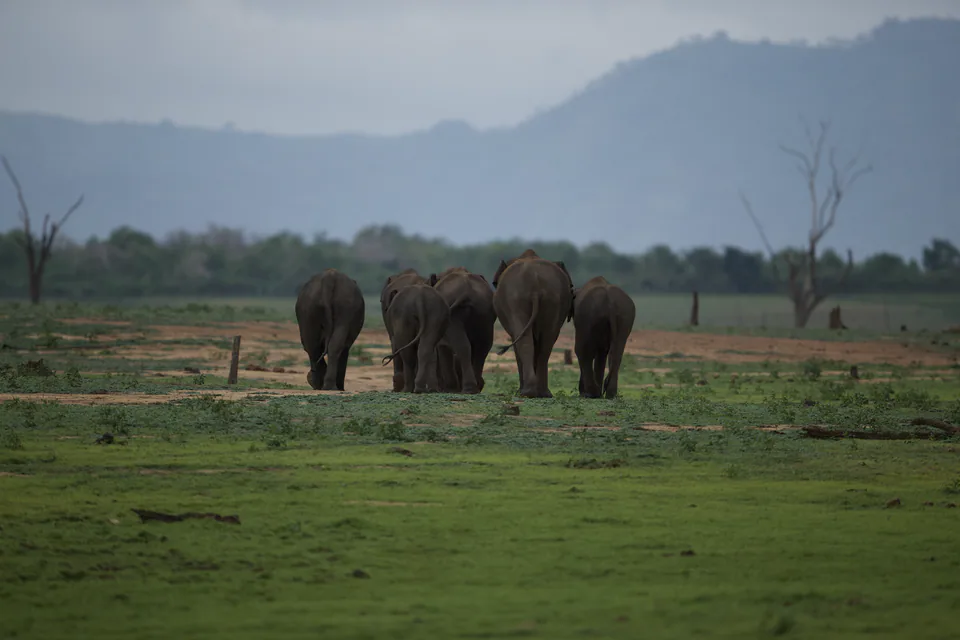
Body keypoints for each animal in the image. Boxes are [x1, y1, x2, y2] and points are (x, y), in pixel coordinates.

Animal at [491, 249, 575, 398]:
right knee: (547, 342)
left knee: (524, 340)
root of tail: (535, 286)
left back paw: (527, 392)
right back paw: (542, 393)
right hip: (552, 300)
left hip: (515, 301)